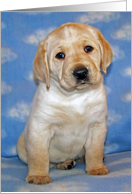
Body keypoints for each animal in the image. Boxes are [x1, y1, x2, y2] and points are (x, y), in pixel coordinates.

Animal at [17, 22, 113, 184]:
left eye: (88, 48)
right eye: (60, 55)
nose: (81, 72)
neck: (75, 97)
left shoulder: (97, 125)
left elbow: (95, 150)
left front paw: (96, 168)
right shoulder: (40, 127)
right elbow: (38, 155)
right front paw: (38, 175)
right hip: (21, 146)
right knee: (49, 161)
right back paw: (64, 163)